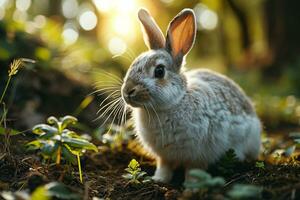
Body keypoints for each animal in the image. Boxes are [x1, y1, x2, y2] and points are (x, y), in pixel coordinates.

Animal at [120, 7, 262, 183]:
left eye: (159, 71)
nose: (127, 91)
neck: (173, 104)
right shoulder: (164, 156)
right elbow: (164, 166)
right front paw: (159, 179)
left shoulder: (198, 154)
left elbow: (194, 170)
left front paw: (191, 185)